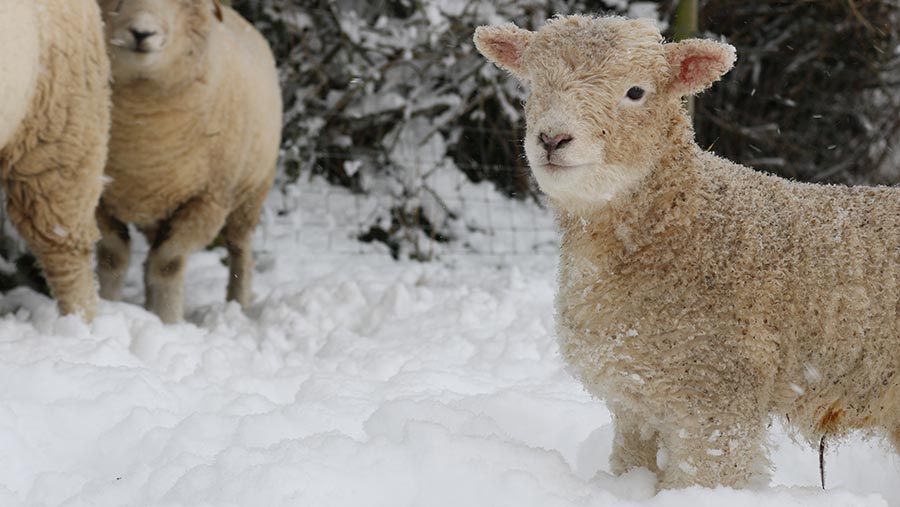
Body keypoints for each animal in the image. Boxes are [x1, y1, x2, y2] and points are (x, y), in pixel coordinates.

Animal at [93, 0, 280, 326]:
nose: (142, 33)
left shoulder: (206, 201)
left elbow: (169, 264)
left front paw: (167, 321)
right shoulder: (97, 195)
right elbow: (114, 257)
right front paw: (110, 306)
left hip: (250, 196)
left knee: (240, 250)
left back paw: (238, 304)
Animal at [474, 15, 900, 490]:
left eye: (636, 91)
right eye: (531, 84)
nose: (552, 139)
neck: (683, 222)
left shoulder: (716, 394)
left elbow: (703, 479)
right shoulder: (636, 400)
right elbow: (633, 466)